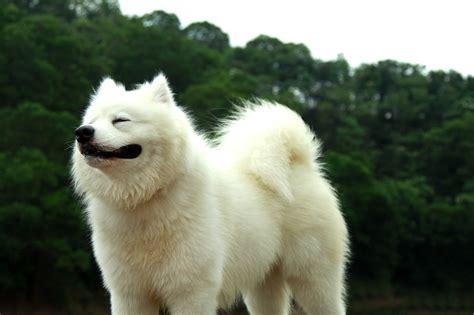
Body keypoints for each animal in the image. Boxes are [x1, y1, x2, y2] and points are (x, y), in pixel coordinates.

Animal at [72, 74, 350, 315]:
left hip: (314, 281)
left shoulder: (192, 291)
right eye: (92, 120)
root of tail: (300, 162)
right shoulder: (129, 293)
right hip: (263, 284)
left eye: (121, 120)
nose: (82, 132)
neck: (145, 199)